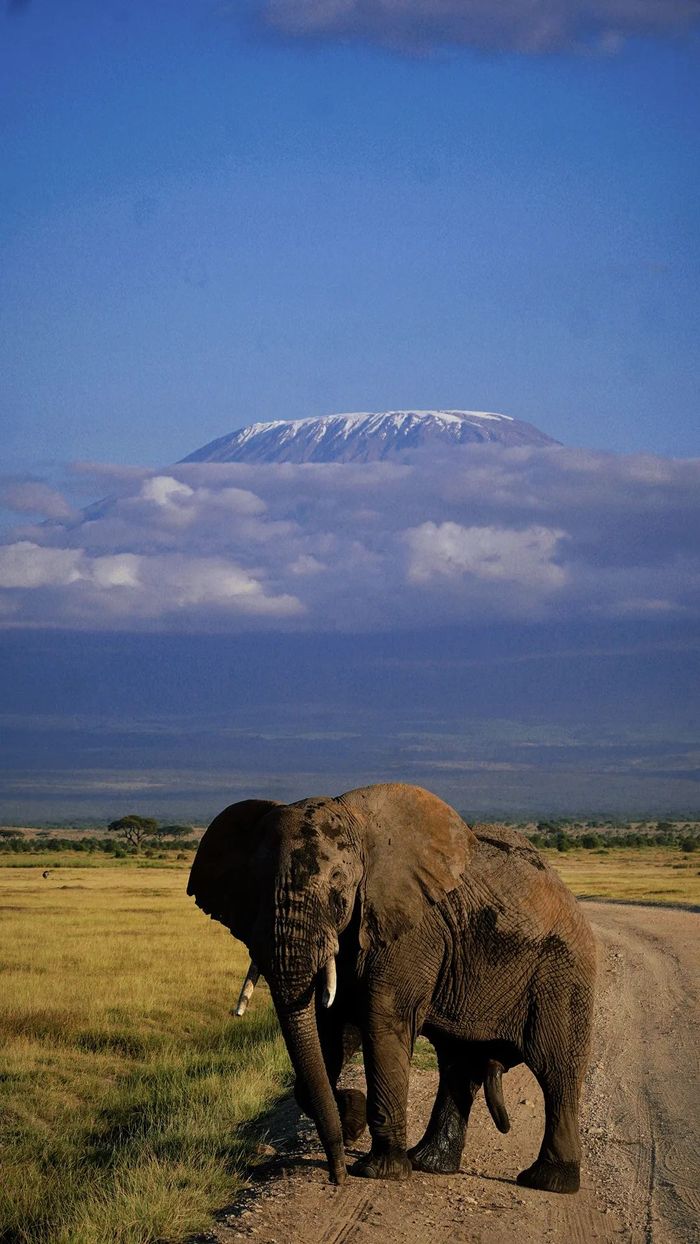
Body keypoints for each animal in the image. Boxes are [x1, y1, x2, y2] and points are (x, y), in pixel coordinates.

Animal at [187, 781, 596, 1189]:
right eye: (252, 889)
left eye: (338, 887)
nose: (337, 1177)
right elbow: (329, 1027)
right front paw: (351, 1119)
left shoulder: (410, 931)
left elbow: (380, 1020)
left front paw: (379, 1171)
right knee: (459, 1065)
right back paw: (429, 1162)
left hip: (562, 973)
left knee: (555, 1070)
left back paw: (547, 1181)